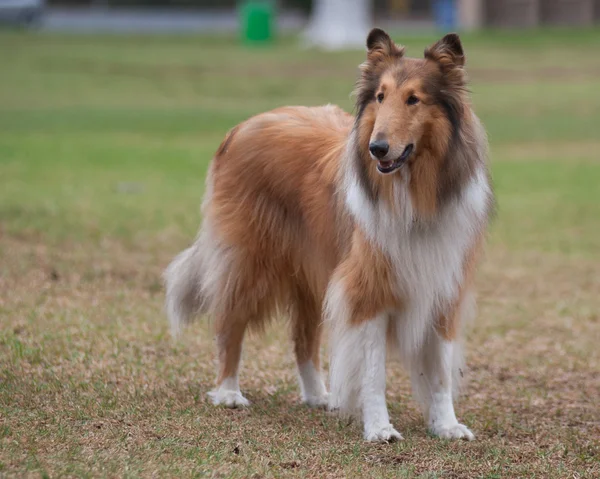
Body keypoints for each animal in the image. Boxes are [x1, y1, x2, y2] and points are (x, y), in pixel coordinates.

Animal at [164, 29, 492, 442]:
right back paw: (228, 392)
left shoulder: (443, 287)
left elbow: (441, 372)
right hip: (249, 260)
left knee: (303, 339)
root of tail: (244, 125)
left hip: (310, 269)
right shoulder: (367, 290)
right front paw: (380, 428)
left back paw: (319, 396)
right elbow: (373, 373)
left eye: (414, 99)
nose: (377, 148)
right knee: (229, 322)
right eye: (380, 96)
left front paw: (447, 425)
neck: (413, 197)